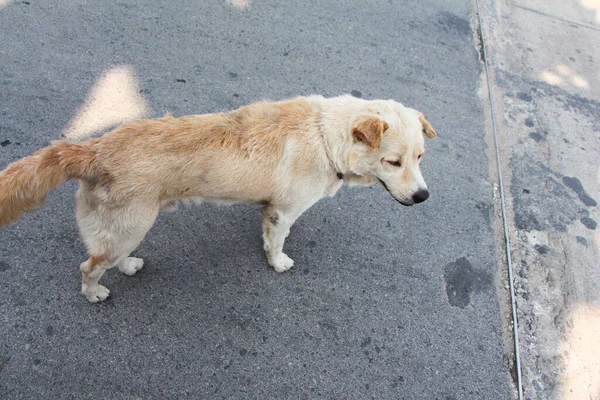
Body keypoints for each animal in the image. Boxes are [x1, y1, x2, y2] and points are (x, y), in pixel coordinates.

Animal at [0, 96, 436, 304]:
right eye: (393, 161)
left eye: (420, 157)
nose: (422, 196)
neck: (326, 134)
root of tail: (94, 149)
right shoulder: (284, 212)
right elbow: (277, 243)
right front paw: (278, 262)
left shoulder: (270, 210)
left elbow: (265, 233)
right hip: (130, 225)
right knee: (89, 266)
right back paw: (94, 293)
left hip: (126, 229)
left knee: (108, 256)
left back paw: (128, 266)